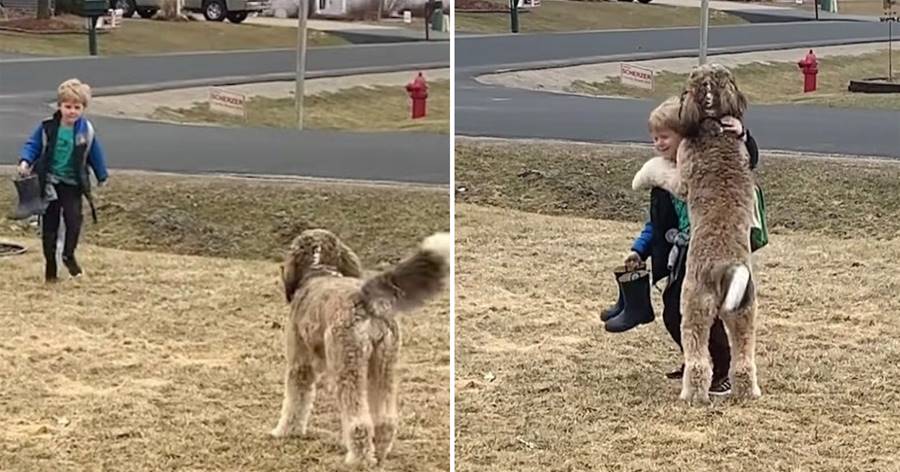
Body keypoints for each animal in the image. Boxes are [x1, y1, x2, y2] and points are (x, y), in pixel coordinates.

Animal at [268, 229, 450, 464]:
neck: (318, 270)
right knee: (385, 420)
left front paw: (284, 431)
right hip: (383, 365)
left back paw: (358, 459)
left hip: (348, 366)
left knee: (359, 421)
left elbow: (295, 400)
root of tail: (365, 298)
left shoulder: (300, 363)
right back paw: (378, 453)